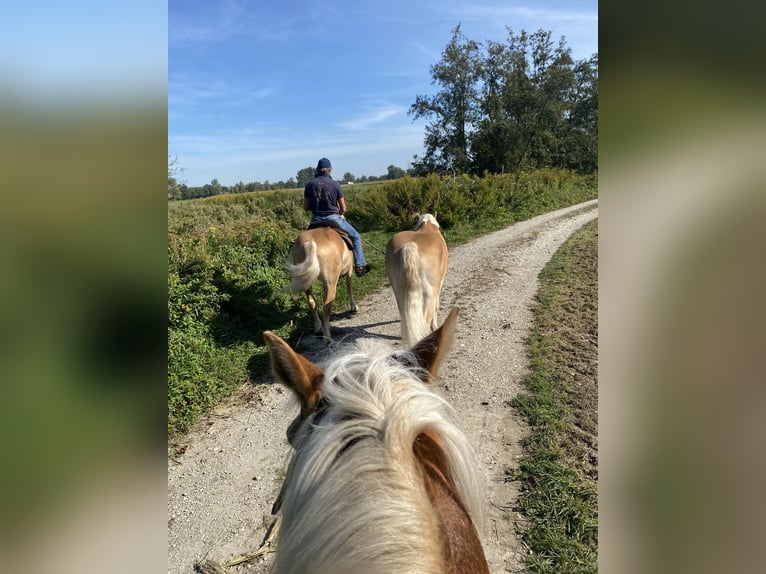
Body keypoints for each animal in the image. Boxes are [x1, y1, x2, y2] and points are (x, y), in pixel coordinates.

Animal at [384, 212, 450, 346]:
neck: (428, 226)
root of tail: (408, 247)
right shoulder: (439, 285)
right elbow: (436, 306)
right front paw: (435, 326)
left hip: (399, 291)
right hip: (429, 293)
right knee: (424, 323)